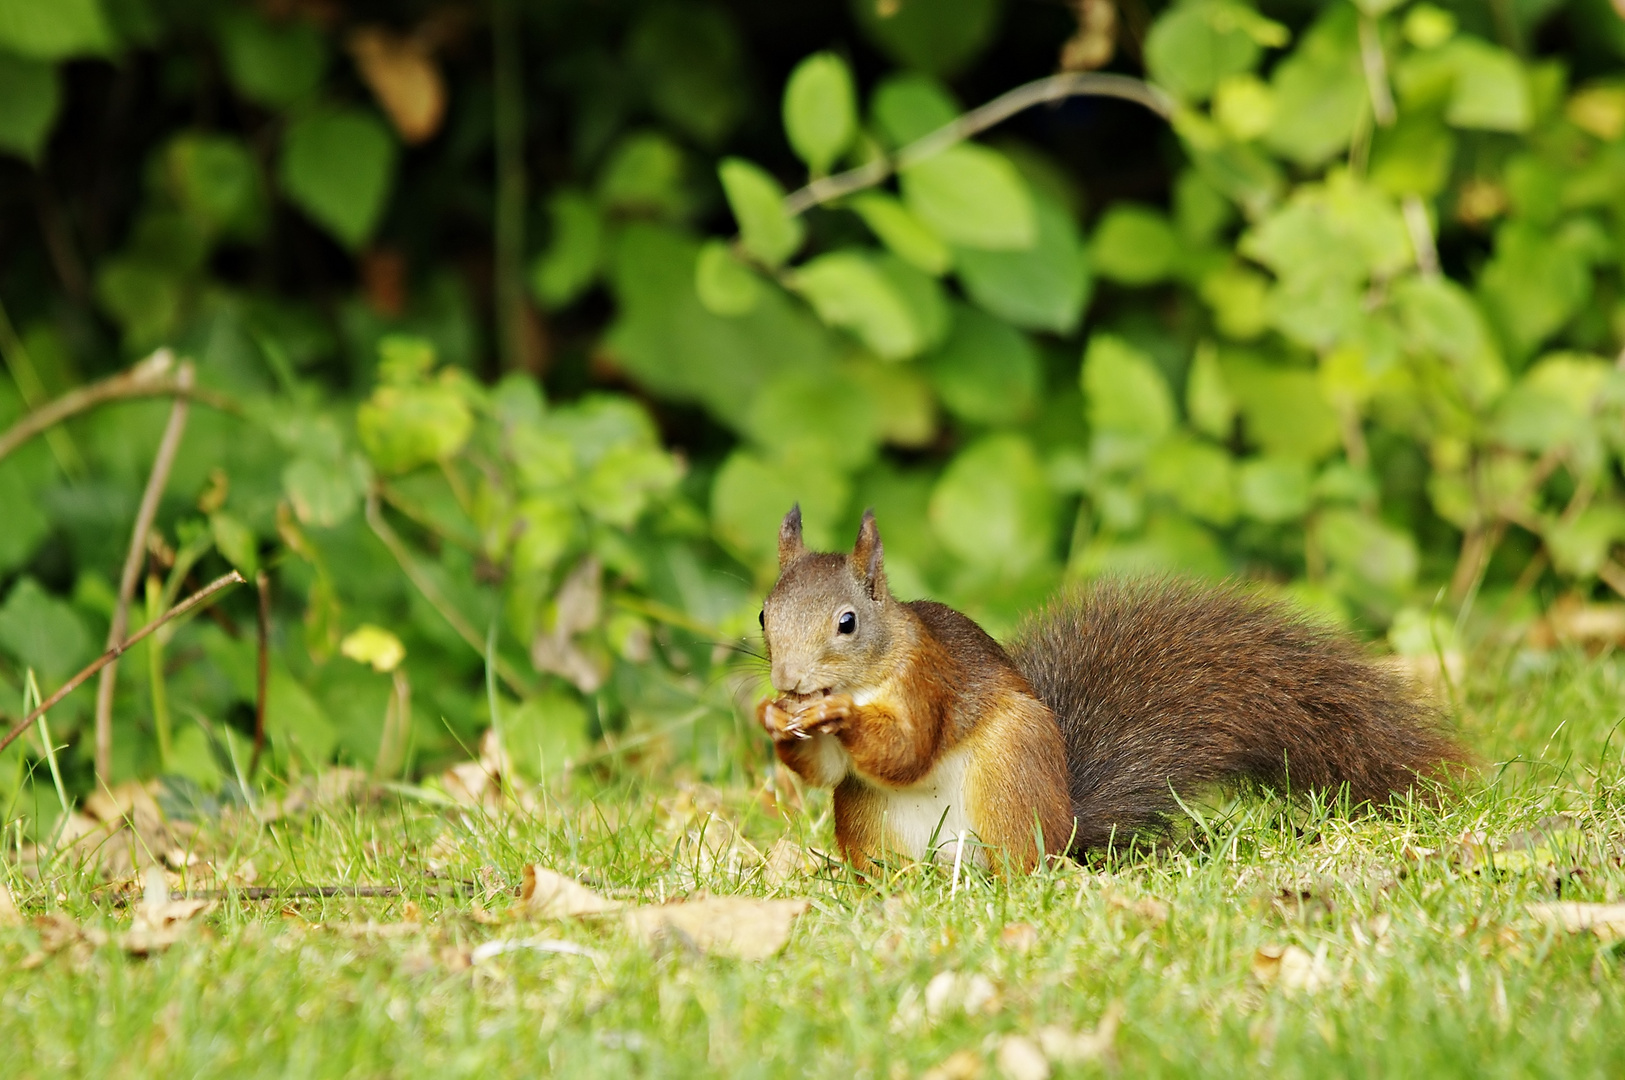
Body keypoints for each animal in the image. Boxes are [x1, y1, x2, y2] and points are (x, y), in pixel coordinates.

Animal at [754, 506, 1469, 876]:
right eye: (763, 615)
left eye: (847, 622)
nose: (788, 682)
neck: (875, 669)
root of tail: (1064, 829)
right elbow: (825, 771)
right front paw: (773, 718)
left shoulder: (931, 680)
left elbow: (908, 749)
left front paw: (838, 714)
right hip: (868, 821)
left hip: (1009, 775)